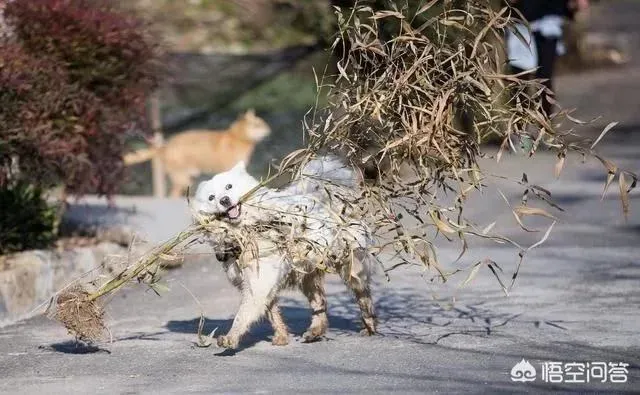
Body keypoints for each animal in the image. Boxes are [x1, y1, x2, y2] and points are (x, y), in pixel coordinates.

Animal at [192, 157, 378, 350]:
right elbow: (273, 314)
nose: (224, 200)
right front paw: (282, 337)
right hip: (307, 276)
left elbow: (242, 316)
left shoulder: (258, 284)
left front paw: (231, 337)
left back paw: (369, 326)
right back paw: (315, 331)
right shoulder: (259, 285)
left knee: (363, 295)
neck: (244, 232)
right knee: (320, 303)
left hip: (352, 269)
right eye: (211, 197)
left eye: (229, 186)